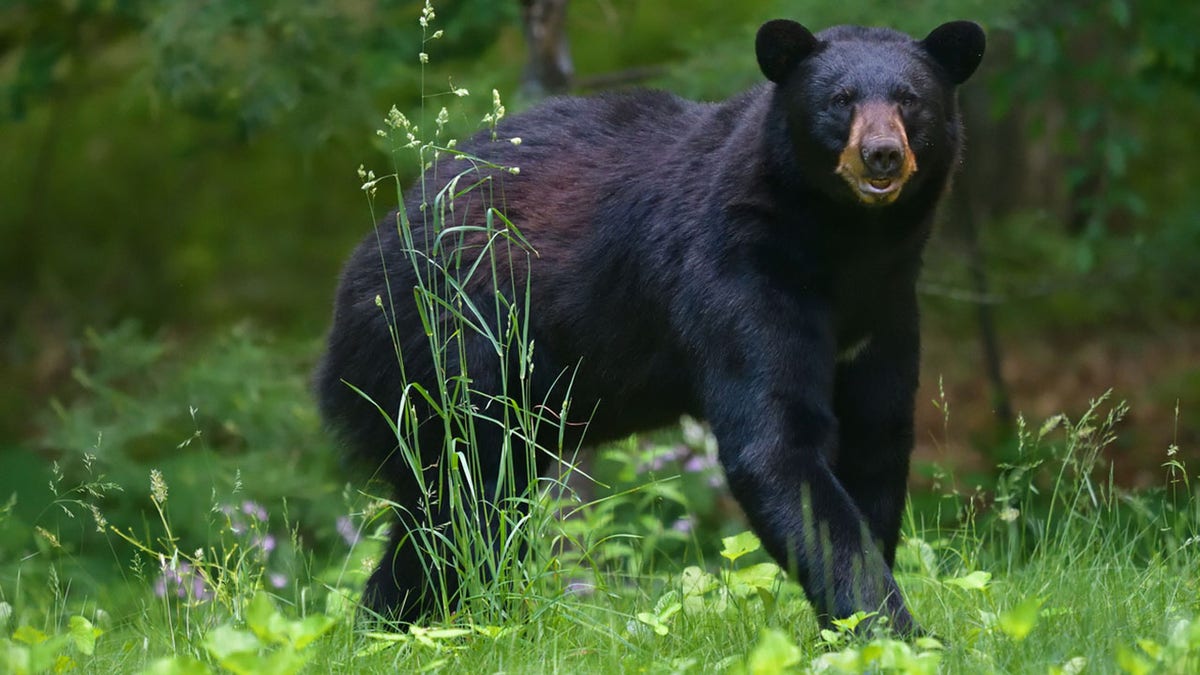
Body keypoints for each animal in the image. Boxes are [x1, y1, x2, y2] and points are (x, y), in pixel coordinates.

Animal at [316, 18, 984, 634]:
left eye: (910, 99)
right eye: (840, 99)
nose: (882, 153)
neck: (845, 245)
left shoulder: (886, 307)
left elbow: (877, 438)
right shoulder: (738, 273)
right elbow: (776, 443)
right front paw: (894, 630)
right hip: (450, 350)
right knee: (461, 501)